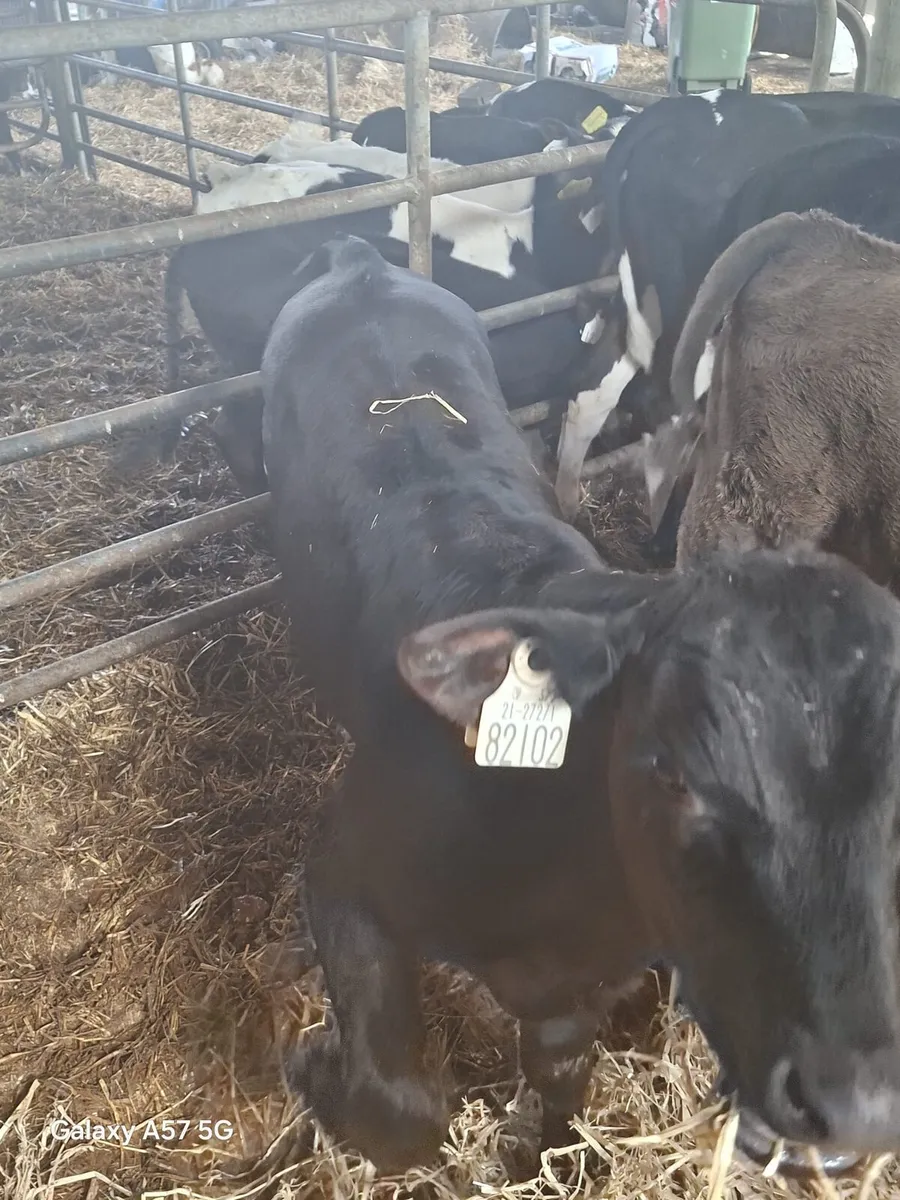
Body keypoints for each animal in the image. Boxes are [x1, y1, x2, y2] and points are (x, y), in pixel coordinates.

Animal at [262, 231, 900, 1179]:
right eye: (669, 771)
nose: (853, 1099)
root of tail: (360, 264)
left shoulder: (580, 987)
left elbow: (561, 1082)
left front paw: (547, 1157)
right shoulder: (343, 866)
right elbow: (404, 1107)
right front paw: (312, 1068)